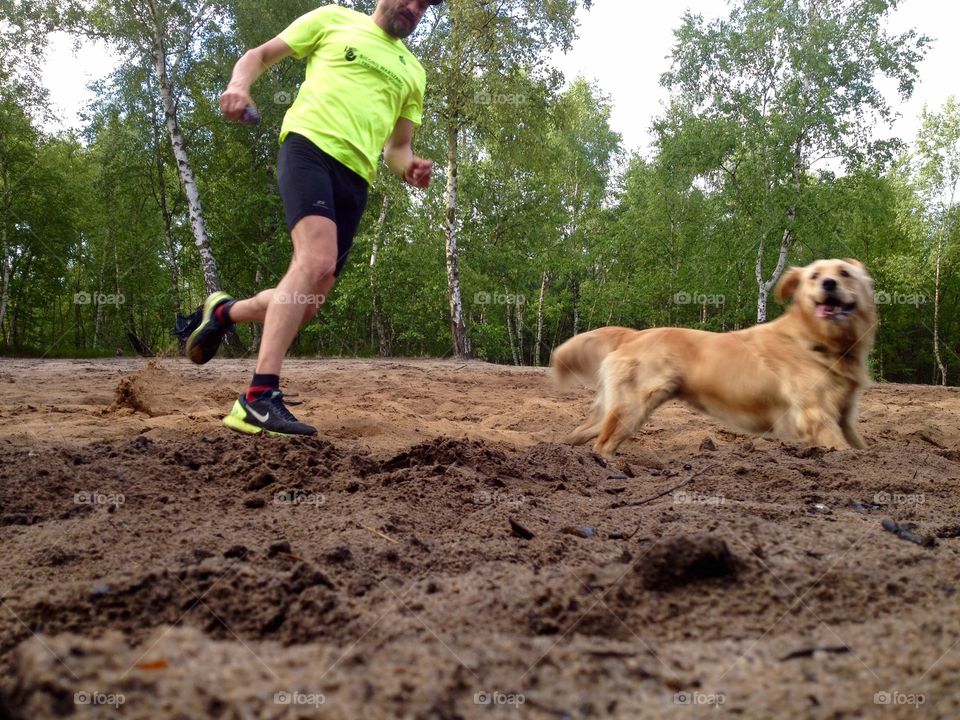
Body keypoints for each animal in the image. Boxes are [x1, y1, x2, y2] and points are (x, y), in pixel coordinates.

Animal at [552, 258, 872, 458]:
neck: (815, 338)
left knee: (584, 433)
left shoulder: (844, 415)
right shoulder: (815, 415)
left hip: (616, 405)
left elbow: (859, 446)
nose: (829, 283)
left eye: (844, 273)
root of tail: (634, 334)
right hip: (632, 406)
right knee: (603, 445)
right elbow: (839, 447)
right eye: (814, 276)